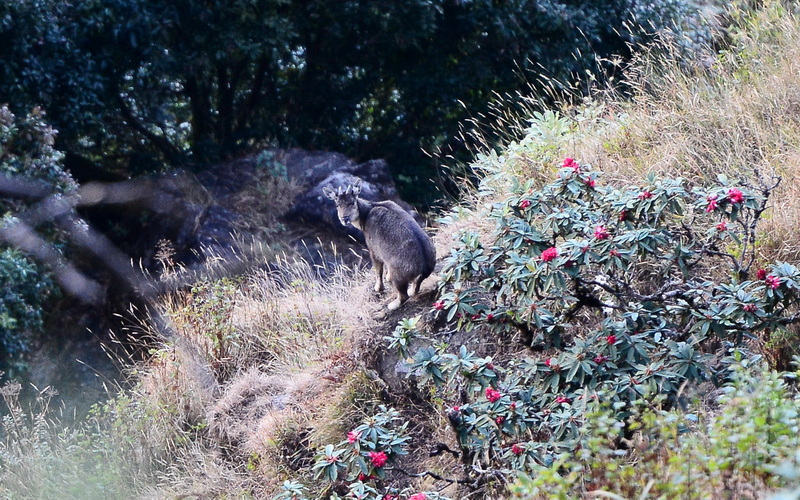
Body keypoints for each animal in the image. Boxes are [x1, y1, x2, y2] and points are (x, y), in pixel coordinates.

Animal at [323, 179, 436, 310]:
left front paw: (378, 288)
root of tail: (424, 268)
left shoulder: (373, 249)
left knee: (404, 295)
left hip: (398, 274)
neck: (365, 215)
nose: (344, 218)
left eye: (352, 202)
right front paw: (386, 278)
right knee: (415, 288)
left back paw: (392, 305)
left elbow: (378, 269)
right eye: (337, 205)